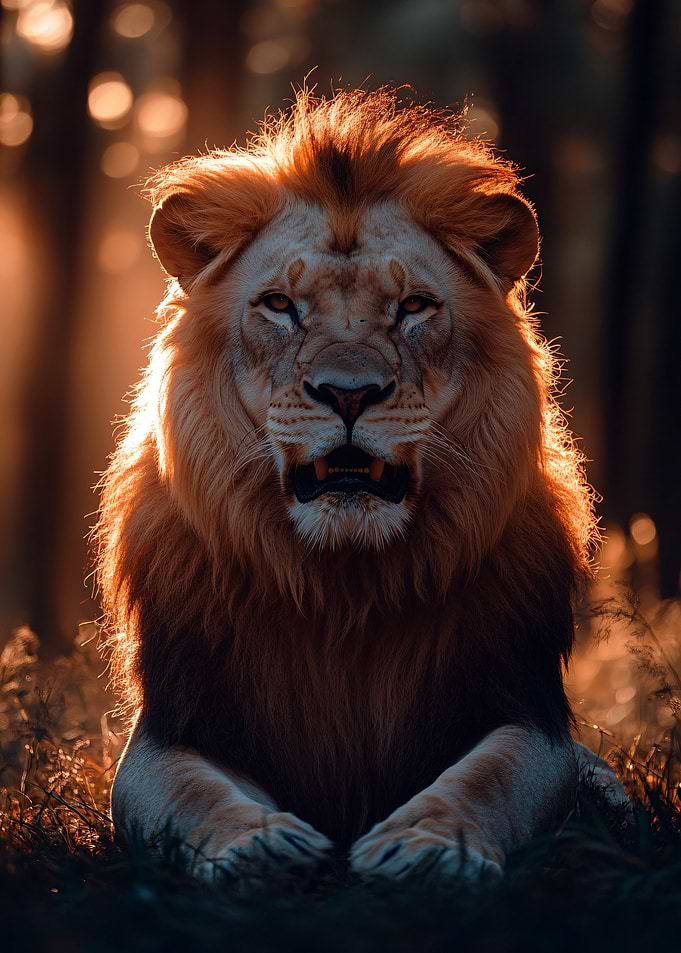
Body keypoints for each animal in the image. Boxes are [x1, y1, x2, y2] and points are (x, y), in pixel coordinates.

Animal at [96, 88, 625, 881]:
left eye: (413, 307)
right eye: (280, 305)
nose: (348, 393)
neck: (346, 586)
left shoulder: (525, 711)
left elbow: (489, 777)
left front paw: (427, 845)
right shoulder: (173, 728)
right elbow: (194, 793)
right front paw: (260, 843)